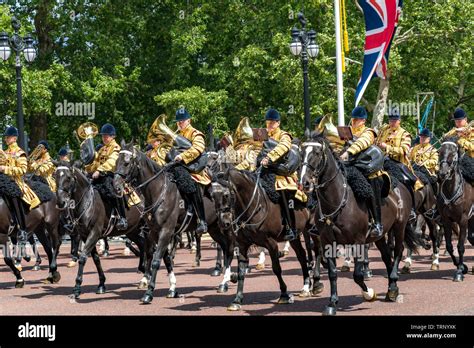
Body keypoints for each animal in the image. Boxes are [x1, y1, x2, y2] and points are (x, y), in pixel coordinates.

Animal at [54, 162, 146, 298]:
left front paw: (77, 287)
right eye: (55, 177)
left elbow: (83, 257)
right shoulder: (85, 235)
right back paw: (143, 270)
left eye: (69, 178)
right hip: (132, 231)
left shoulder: (94, 233)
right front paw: (101, 284)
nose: (61, 202)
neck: (87, 203)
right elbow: (96, 259)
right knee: (143, 245)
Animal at [302, 135, 420, 316]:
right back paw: (391, 288)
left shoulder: (358, 241)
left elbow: (357, 275)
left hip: (399, 226)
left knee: (398, 251)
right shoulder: (327, 241)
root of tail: (400, 184)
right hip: (380, 236)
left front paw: (368, 293)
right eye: (302, 152)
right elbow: (332, 273)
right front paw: (332, 303)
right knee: (387, 256)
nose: (305, 182)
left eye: (316, 152)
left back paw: (393, 287)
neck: (338, 200)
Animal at [436, 140, 474, 282]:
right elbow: (449, 246)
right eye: (439, 152)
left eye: (453, 154)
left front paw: (459, 273)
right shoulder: (446, 220)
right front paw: (461, 267)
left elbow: (461, 247)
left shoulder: (462, 220)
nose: (443, 174)